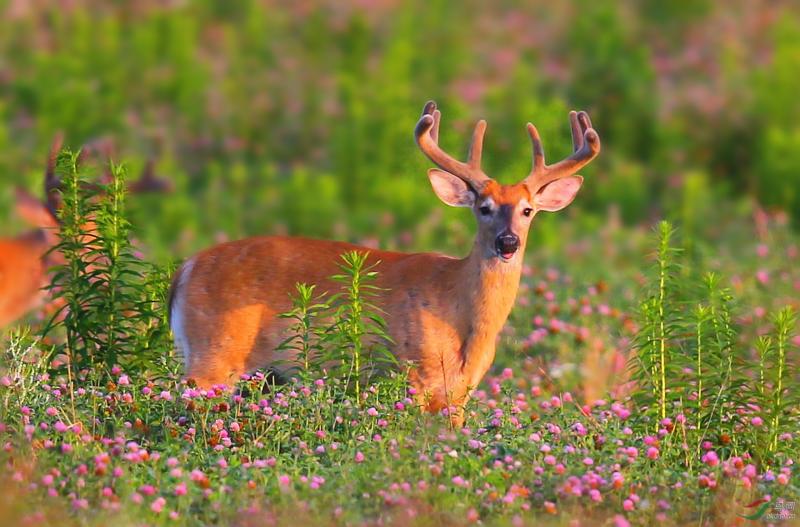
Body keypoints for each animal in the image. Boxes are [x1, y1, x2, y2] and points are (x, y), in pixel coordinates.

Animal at [169, 101, 600, 426]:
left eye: (528, 210)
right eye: (484, 207)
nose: (507, 242)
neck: (460, 316)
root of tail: (186, 268)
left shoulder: (461, 392)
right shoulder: (413, 374)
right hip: (215, 355)